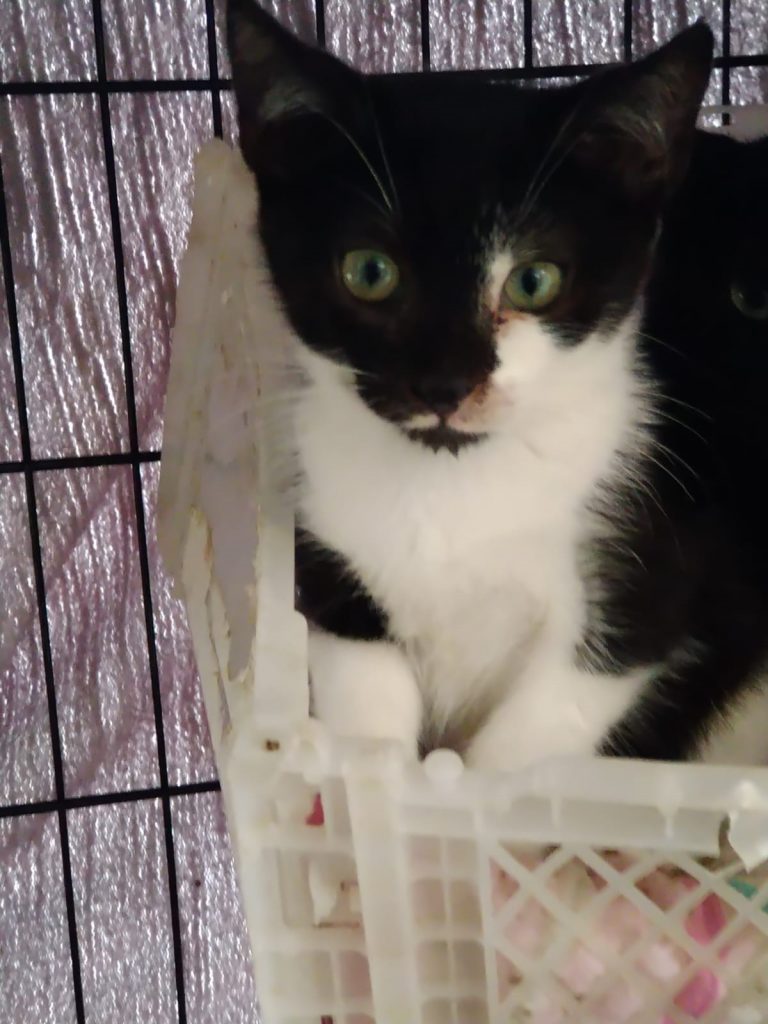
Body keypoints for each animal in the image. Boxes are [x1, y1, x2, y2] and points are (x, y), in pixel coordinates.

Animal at [228, 0, 768, 769]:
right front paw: (376, 776)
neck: (455, 485)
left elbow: (529, 749)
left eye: (534, 281)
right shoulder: (328, 567)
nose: (444, 384)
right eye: (369, 271)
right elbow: (366, 704)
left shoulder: (642, 589)